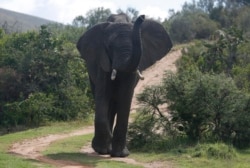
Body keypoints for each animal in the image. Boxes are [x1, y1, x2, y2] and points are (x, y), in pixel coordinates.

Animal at [77, 13, 173, 157]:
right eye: (110, 46)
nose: (142, 17)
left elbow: (125, 96)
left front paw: (121, 154)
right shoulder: (102, 61)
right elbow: (103, 95)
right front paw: (102, 149)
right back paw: (105, 149)